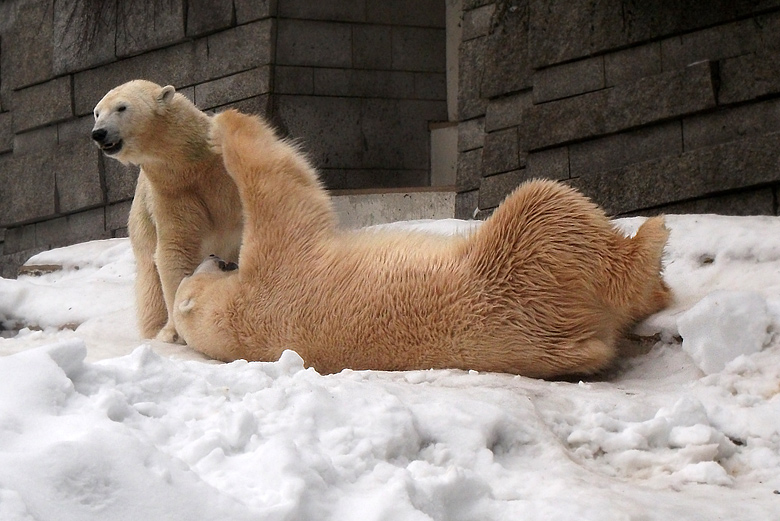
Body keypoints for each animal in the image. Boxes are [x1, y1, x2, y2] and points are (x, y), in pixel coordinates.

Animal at [90, 80, 241, 342]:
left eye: (121, 107)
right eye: (97, 113)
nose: (99, 133)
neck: (194, 163)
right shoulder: (170, 192)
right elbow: (175, 249)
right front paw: (172, 332)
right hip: (142, 226)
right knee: (150, 283)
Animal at [172, 109, 672, 378]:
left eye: (196, 272)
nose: (213, 257)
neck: (241, 320)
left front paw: (215, 126)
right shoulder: (278, 268)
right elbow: (281, 190)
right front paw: (225, 126)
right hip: (523, 267)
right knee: (548, 204)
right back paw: (653, 249)